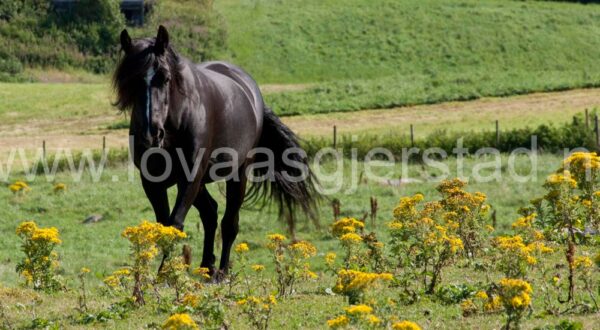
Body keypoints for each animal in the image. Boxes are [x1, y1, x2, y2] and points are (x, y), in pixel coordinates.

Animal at [112, 26, 318, 278]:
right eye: (131, 81)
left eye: (165, 78)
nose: (151, 135)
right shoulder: (152, 183)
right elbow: (164, 226)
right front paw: (165, 274)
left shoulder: (190, 177)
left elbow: (175, 223)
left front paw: (166, 275)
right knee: (210, 213)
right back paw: (206, 267)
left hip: (238, 172)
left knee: (229, 223)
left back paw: (221, 272)